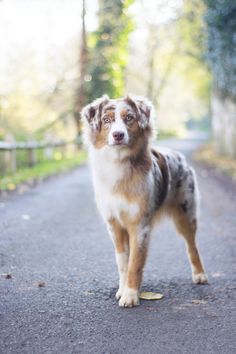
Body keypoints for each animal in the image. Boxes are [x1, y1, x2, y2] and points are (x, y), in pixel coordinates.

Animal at [81, 94, 208, 306]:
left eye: (129, 118)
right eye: (106, 120)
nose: (118, 135)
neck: (119, 164)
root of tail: (179, 156)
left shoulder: (139, 224)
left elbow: (135, 263)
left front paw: (130, 296)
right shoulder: (114, 224)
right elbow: (123, 262)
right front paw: (123, 290)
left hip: (186, 213)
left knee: (192, 246)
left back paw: (199, 275)